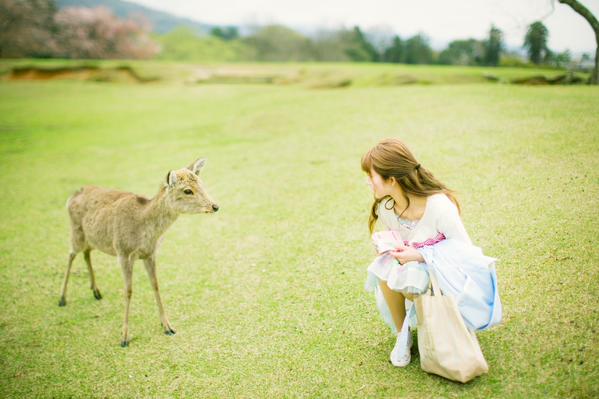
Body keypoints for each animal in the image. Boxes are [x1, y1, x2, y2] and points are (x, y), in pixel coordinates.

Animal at [58, 159, 218, 346]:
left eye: (201, 183)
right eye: (187, 190)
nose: (215, 206)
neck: (145, 230)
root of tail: (72, 195)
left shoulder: (150, 254)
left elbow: (155, 285)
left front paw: (168, 327)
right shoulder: (123, 252)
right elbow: (128, 291)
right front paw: (124, 338)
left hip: (92, 239)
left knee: (86, 253)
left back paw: (96, 292)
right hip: (76, 232)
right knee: (71, 254)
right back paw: (62, 299)